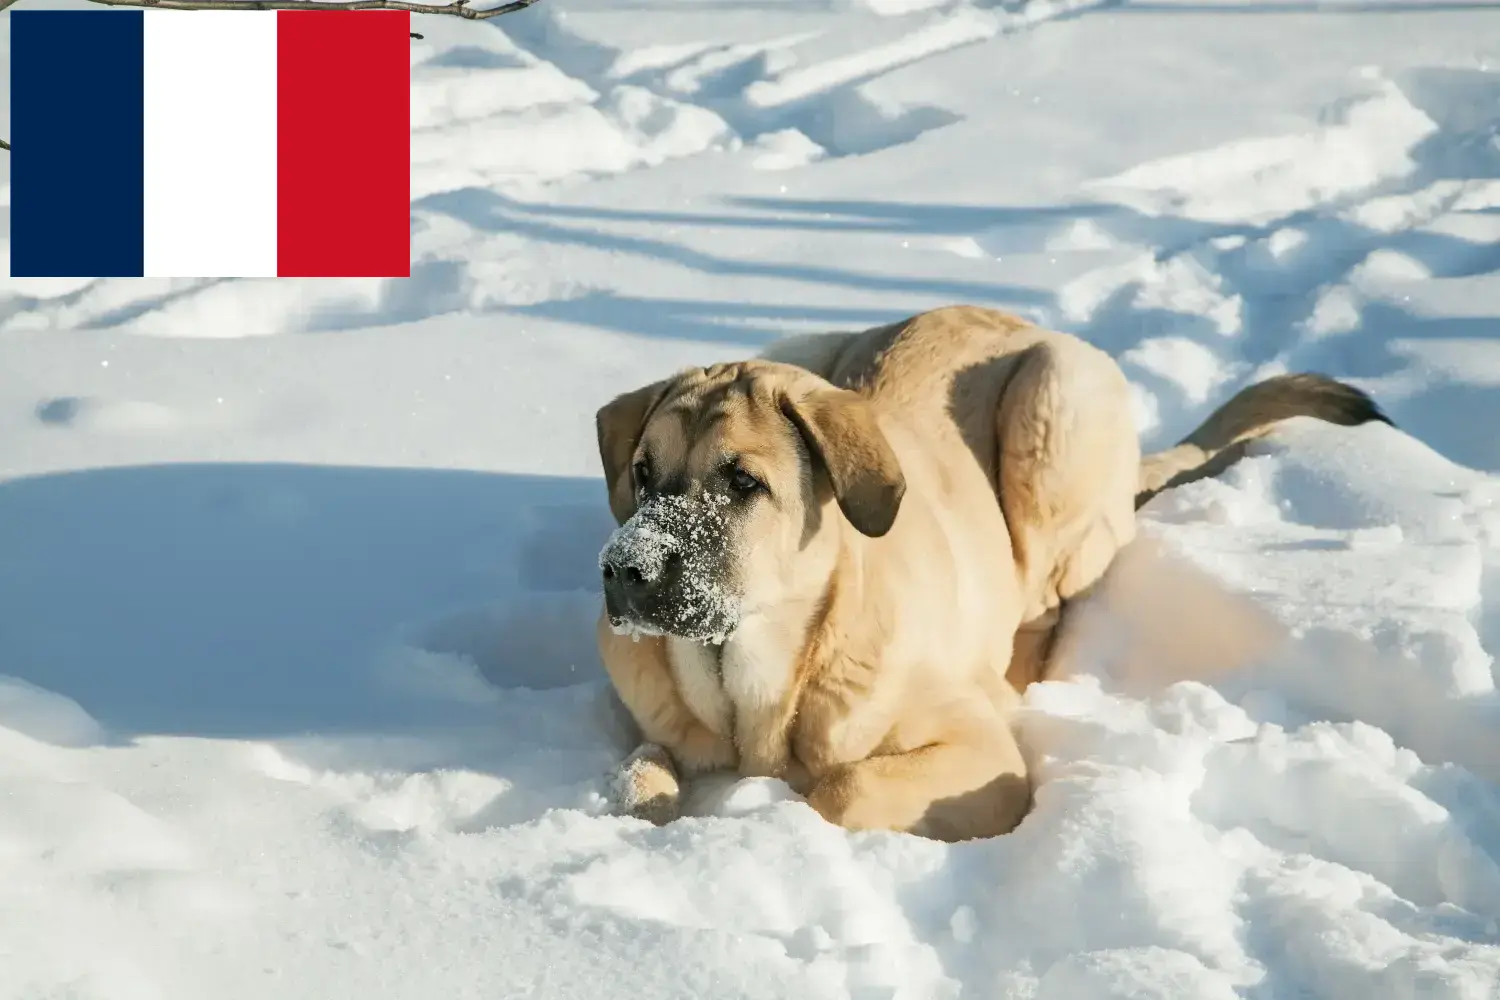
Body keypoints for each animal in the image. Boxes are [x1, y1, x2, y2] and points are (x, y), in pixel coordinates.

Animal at [591, 301, 1386, 839]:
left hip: (1054, 406)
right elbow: (638, 775)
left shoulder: (982, 757)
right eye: (642, 473)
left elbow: (841, 792)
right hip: (807, 342)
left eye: (742, 482)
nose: (624, 569)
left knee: (1045, 603)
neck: (757, 683)